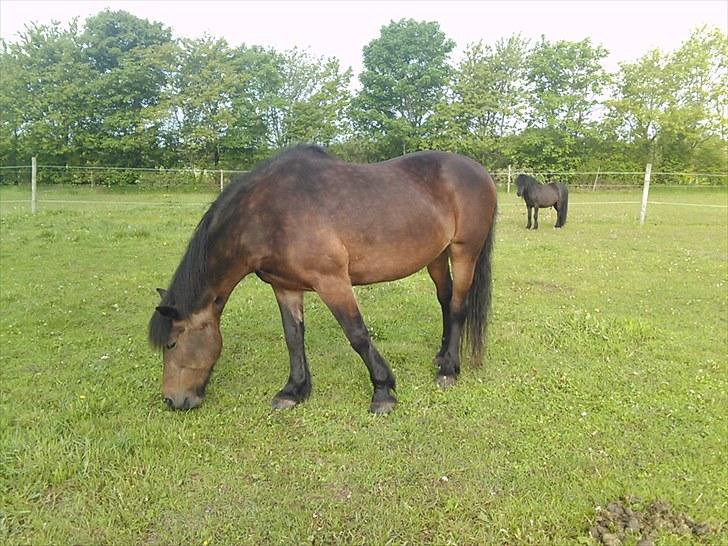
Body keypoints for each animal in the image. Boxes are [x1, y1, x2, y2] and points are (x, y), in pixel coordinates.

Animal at [150, 144, 498, 412]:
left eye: (172, 343)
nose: (172, 400)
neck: (269, 213)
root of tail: (479, 171)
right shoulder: (285, 287)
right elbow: (293, 337)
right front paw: (293, 391)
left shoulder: (332, 281)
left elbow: (357, 334)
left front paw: (383, 391)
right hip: (436, 256)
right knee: (445, 299)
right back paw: (441, 357)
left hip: (464, 251)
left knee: (458, 306)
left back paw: (449, 371)